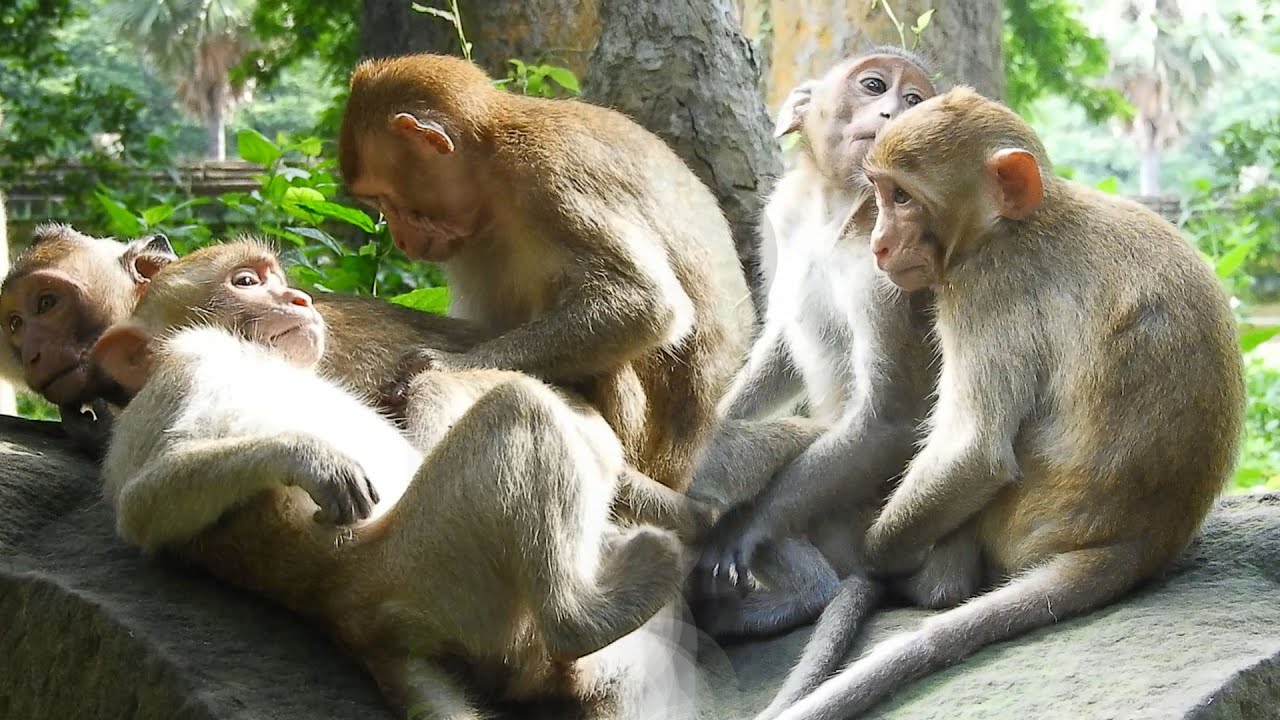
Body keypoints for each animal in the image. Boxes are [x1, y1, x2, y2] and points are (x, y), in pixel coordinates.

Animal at [93, 240, 686, 719]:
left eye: (277, 279)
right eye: (245, 282)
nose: (300, 300)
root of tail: (351, 617)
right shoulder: (190, 366)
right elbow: (145, 502)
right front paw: (311, 457)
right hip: (426, 566)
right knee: (519, 409)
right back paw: (584, 615)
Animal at [338, 53, 755, 494]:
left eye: (387, 200)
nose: (400, 240)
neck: (492, 168)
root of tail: (681, 468)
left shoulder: (549, 178)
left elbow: (646, 303)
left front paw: (446, 365)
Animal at [689, 48, 947, 645]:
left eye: (913, 100)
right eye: (874, 87)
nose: (894, 113)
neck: (841, 208)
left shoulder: (895, 265)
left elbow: (888, 419)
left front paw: (742, 529)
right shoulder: (782, 216)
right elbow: (782, 341)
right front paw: (713, 416)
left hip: (866, 525)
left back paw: (806, 594)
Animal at [756, 87, 1245, 720]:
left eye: (902, 197)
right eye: (880, 193)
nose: (878, 244)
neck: (1018, 223)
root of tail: (1136, 545)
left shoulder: (981, 288)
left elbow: (973, 455)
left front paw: (875, 557)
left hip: (1014, 528)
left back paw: (930, 583)